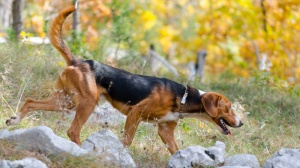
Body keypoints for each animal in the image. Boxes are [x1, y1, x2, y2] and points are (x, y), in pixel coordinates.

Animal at [5, 4, 244, 154]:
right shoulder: (135, 114)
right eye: (229, 108)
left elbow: (175, 150)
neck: (182, 97)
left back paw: (14, 121)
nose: (241, 123)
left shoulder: (165, 131)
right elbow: (127, 141)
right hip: (86, 102)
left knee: (31, 102)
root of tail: (78, 60)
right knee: (73, 131)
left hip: (65, 100)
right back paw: (82, 150)